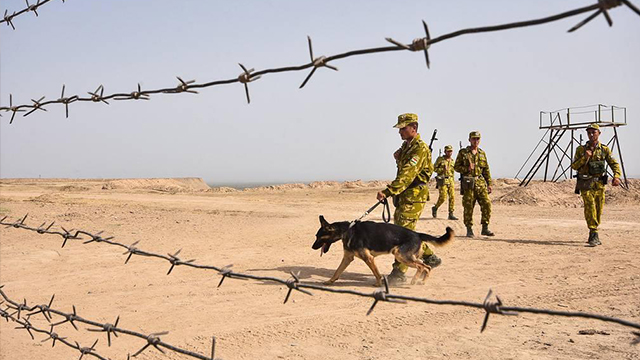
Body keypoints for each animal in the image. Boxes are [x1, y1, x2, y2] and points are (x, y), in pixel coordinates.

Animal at [312, 217, 456, 286]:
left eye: (318, 237)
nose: (312, 247)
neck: (347, 230)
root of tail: (417, 234)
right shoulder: (348, 258)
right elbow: (337, 271)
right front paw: (329, 281)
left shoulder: (368, 258)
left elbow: (376, 273)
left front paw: (378, 283)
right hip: (406, 256)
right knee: (426, 266)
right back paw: (422, 281)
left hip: (400, 255)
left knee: (422, 266)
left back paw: (416, 280)